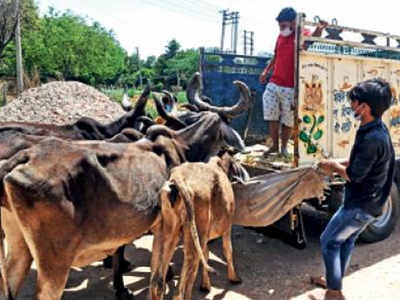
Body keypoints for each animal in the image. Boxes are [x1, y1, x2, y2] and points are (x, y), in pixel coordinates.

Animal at [150, 154, 242, 300]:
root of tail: (178, 176)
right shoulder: (226, 228)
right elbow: (228, 250)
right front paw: (234, 278)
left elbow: (206, 254)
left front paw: (205, 285)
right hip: (196, 233)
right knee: (181, 290)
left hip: (168, 231)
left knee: (157, 282)